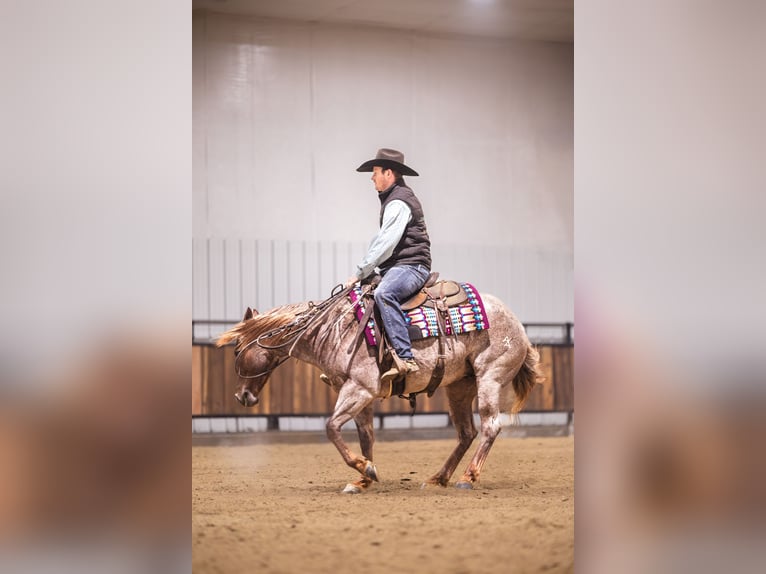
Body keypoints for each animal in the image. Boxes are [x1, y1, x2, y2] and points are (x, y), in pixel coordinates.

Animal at [216, 284, 544, 493]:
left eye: (236, 350)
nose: (241, 396)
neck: (334, 330)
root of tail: (519, 327)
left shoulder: (358, 388)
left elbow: (331, 427)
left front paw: (365, 469)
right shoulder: (359, 393)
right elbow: (366, 435)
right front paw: (363, 478)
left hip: (490, 377)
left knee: (490, 426)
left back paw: (468, 477)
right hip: (459, 387)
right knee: (466, 432)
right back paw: (438, 478)